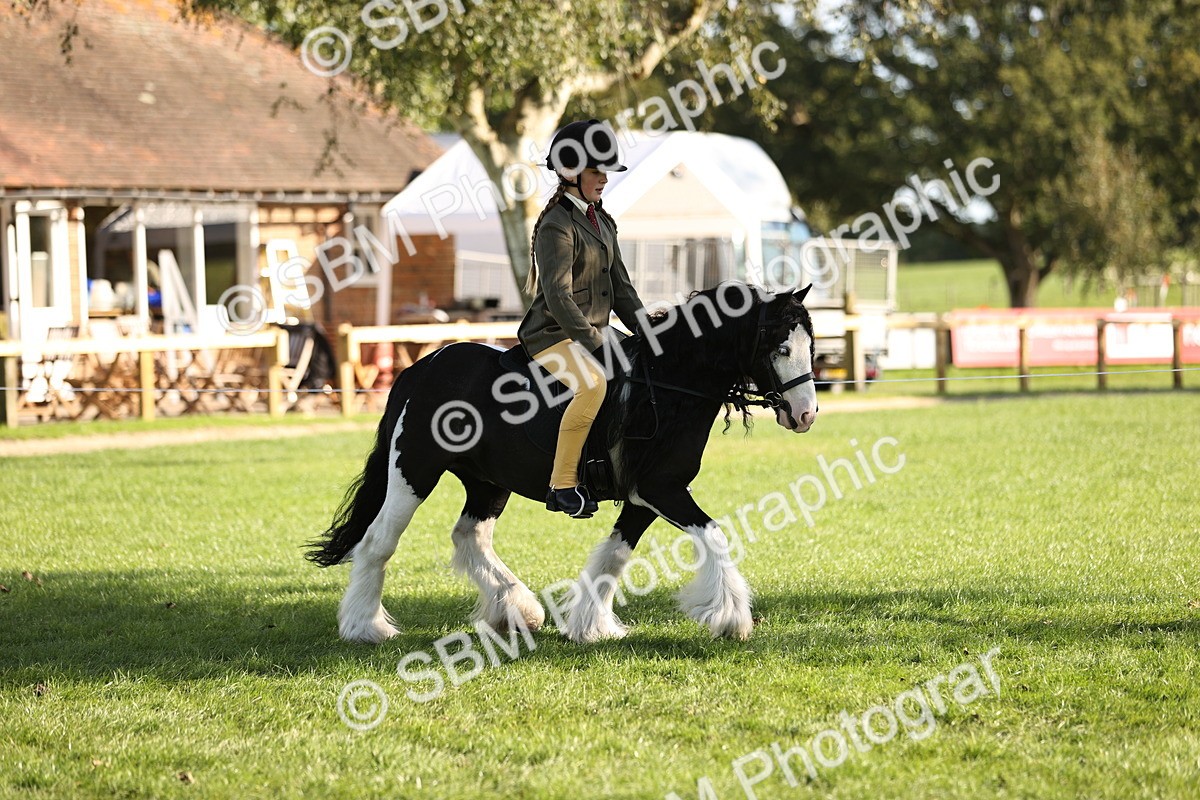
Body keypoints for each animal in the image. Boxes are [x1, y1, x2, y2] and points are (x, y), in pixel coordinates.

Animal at [306, 282, 819, 644]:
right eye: (780, 348)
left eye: (810, 347)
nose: (805, 415)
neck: (669, 382)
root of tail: (422, 368)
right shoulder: (662, 490)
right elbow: (714, 535)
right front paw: (731, 618)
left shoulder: (644, 498)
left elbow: (614, 555)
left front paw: (591, 625)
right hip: (414, 471)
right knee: (378, 543)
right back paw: (365, 627)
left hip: (487, 483)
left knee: (470, 537)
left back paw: (517, 608)